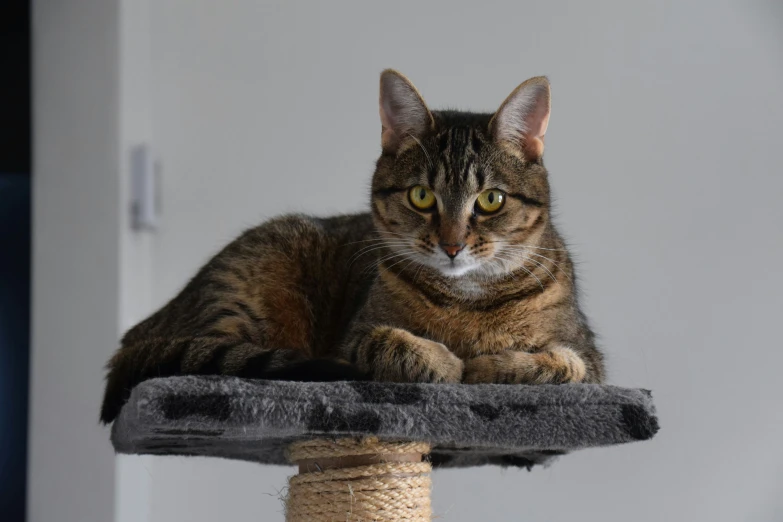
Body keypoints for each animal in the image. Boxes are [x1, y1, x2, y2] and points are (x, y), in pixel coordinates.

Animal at [99, 69, 608, 422]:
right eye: (421, 196)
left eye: (491, 200)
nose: (452, 245)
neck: (466, 305)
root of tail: (145, 327)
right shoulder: (356, 336)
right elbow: (392, 342)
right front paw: (447, 362)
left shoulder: (591, 361)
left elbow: (562, 364)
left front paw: (487, 366)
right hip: (241, 299)